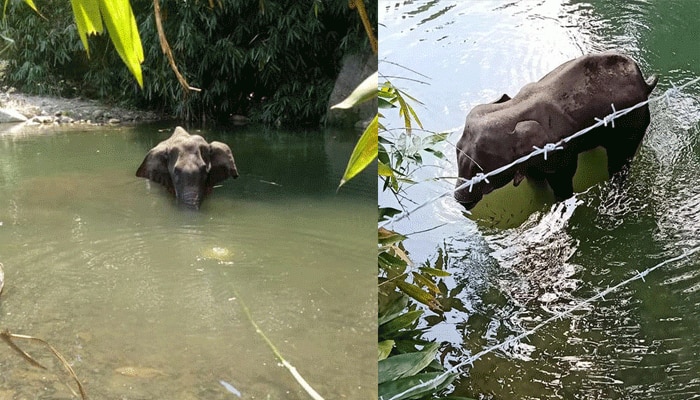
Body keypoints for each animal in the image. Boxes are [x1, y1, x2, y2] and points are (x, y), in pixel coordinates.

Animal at [456, 51, 660, 209]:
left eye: (480, 171)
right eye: (457, 150)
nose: (459, 200)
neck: (514, 108)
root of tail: (645, 83)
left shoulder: (558, 151)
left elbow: (563, 178)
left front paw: (559, 203)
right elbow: (535, 178)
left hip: (633, 124)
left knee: (619, 162)